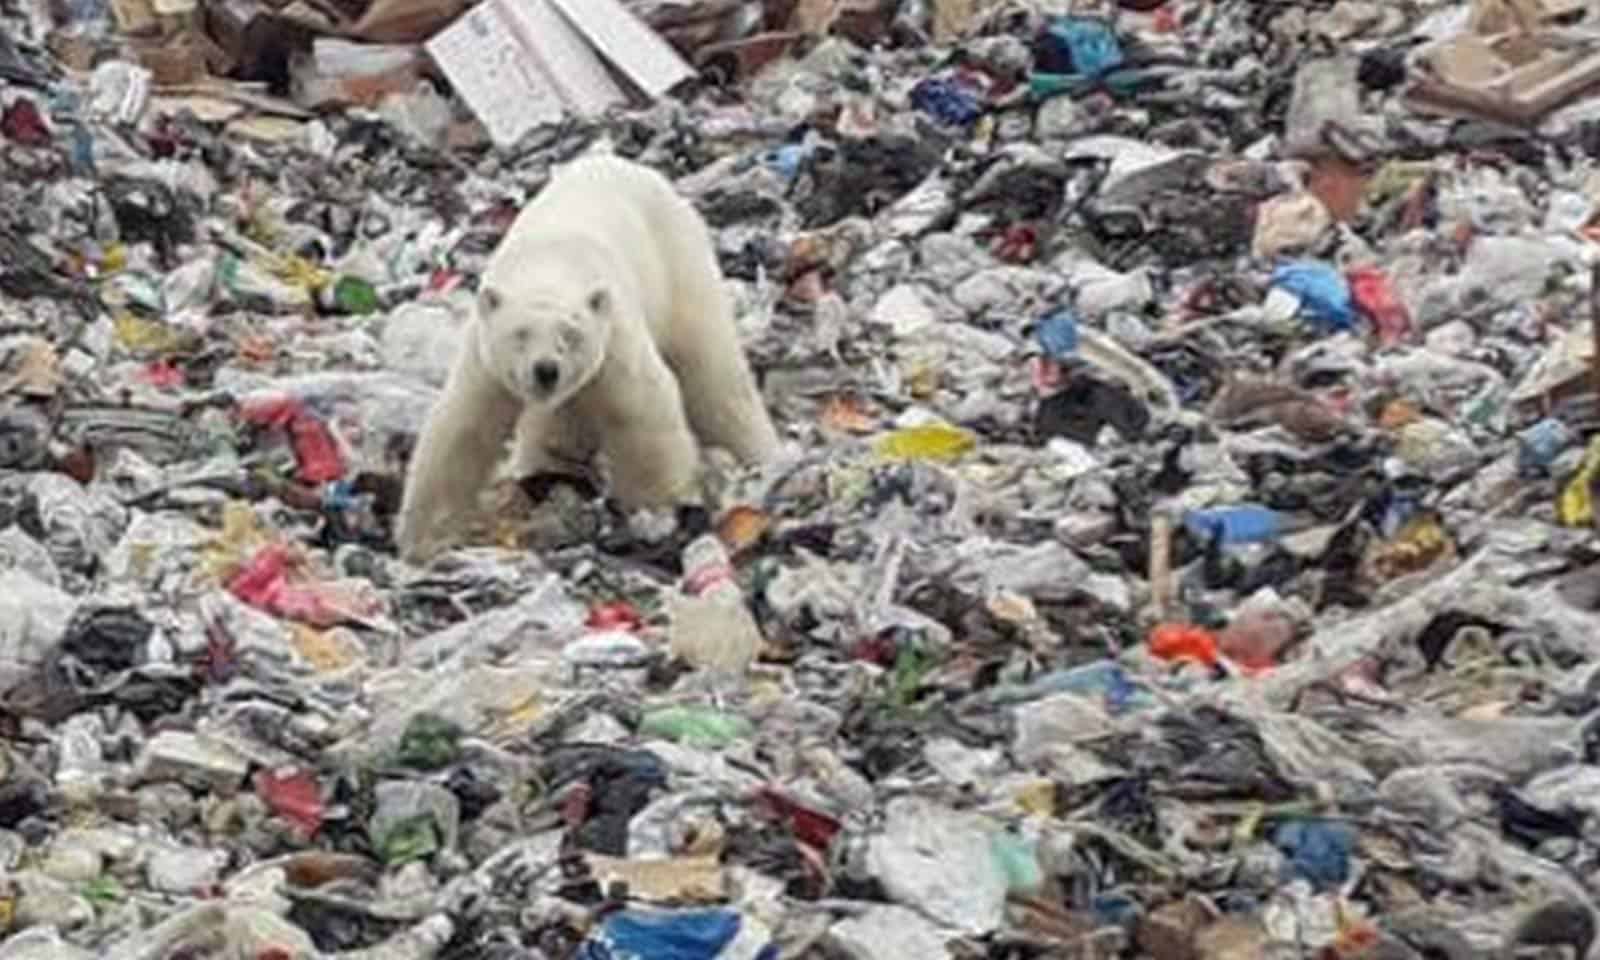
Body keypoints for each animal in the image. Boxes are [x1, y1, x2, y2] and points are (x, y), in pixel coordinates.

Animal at [393, 151, 780, 563]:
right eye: (519, 334)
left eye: (570, 334)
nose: (546, 370)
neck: (549, 266)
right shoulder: (485, 360)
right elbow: (464, 428)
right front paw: (421, 540)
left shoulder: (613, 335)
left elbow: (643, 408)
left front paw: (658, 514)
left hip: (679, 266)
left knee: (712, 374)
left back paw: (761, 458)